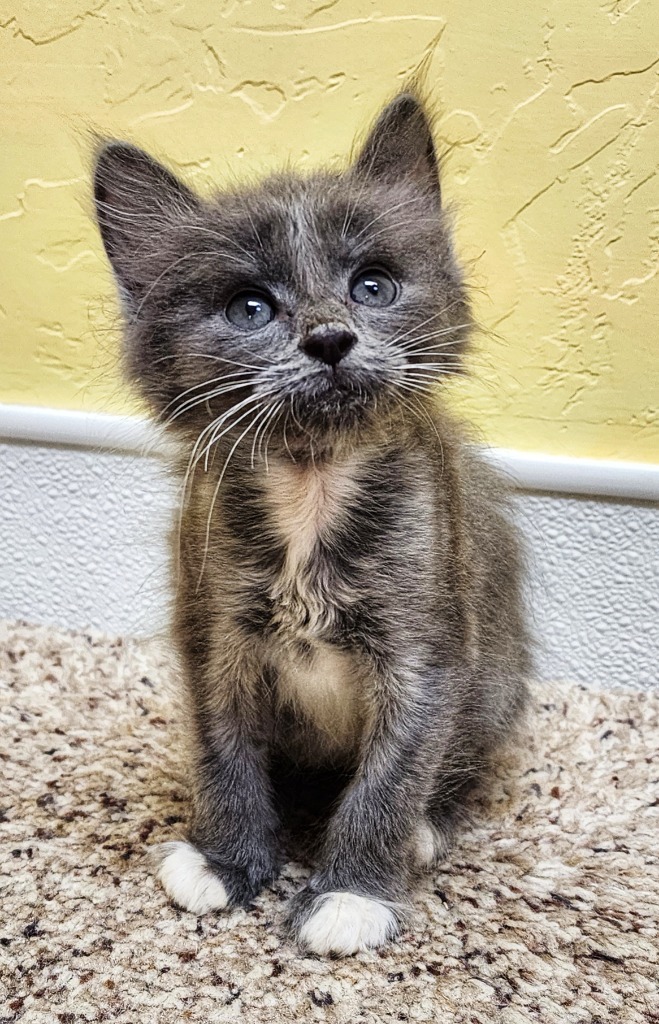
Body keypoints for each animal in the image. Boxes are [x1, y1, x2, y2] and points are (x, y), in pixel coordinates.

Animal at [94, 90, 532, 958]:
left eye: (372, 286)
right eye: (249, 308)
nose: (329, 338)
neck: (311, 482)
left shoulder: (428, 651)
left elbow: (389, 780)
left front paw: (352, 893)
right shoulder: (214, 631)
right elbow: (223, 754)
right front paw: (226, 861)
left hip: (494, 682)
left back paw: (426, 829)